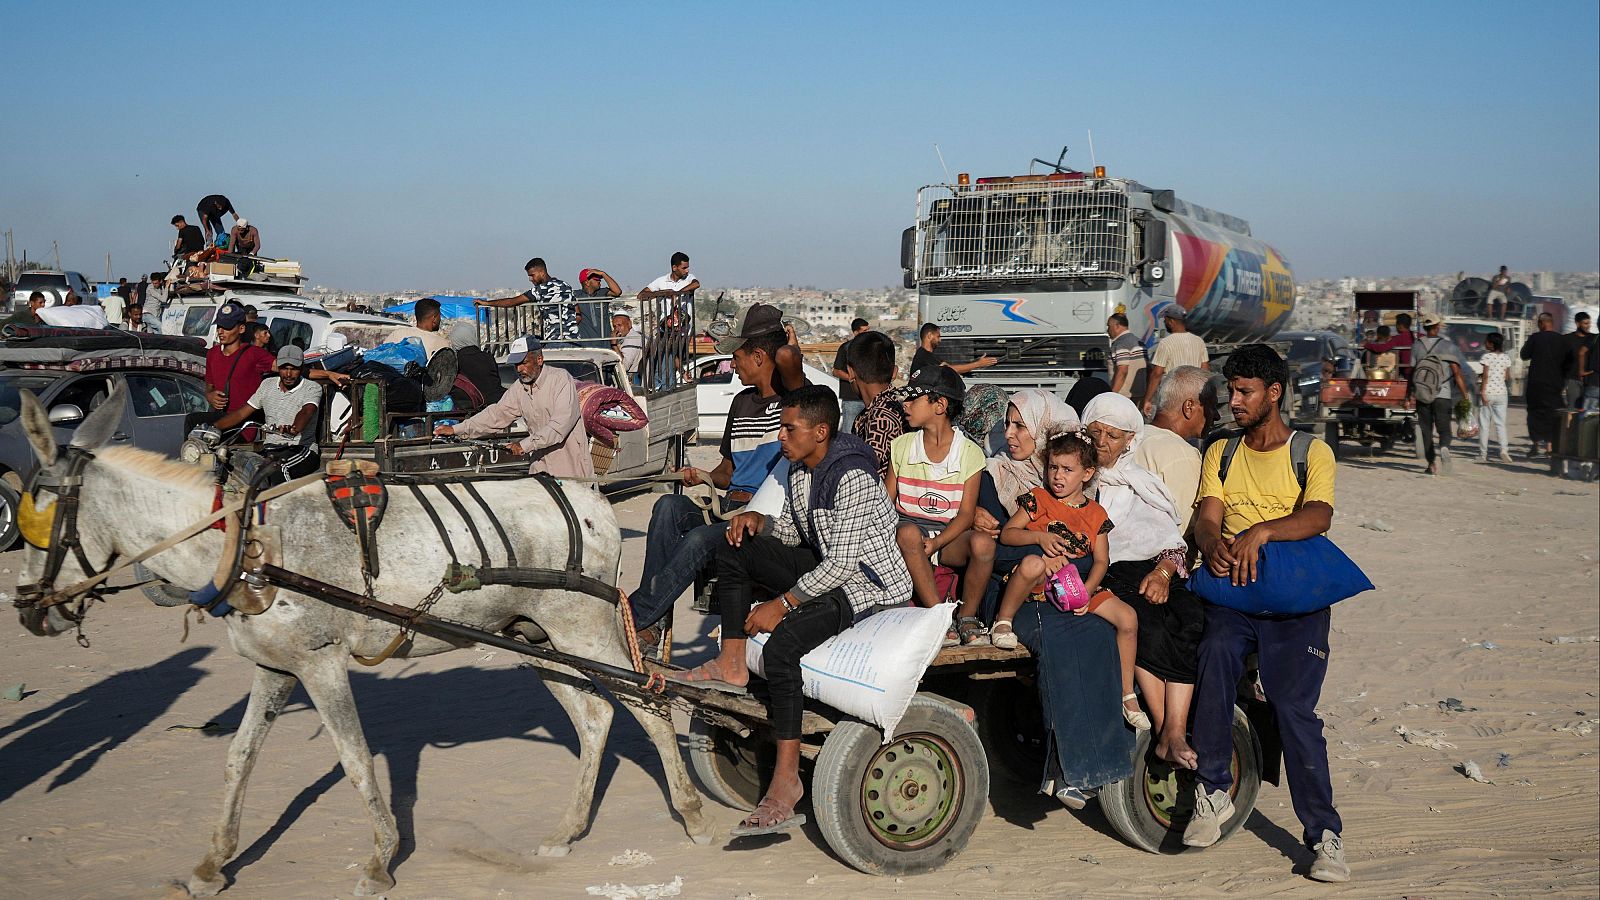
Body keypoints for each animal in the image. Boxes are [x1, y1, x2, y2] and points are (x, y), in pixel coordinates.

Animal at [10, 387, 713, 896]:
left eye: (40, 517)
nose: (27, 610)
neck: (246, 548)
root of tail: (594, 501)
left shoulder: (321, 666)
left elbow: (355, 760)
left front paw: (379, 862)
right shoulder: (275, 669)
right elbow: (239, 759)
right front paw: (212, 863)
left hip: (584, 628)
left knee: (650, 705)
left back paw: (691, 812)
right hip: (534, 637)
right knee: (594, 717)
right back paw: (567, 831)